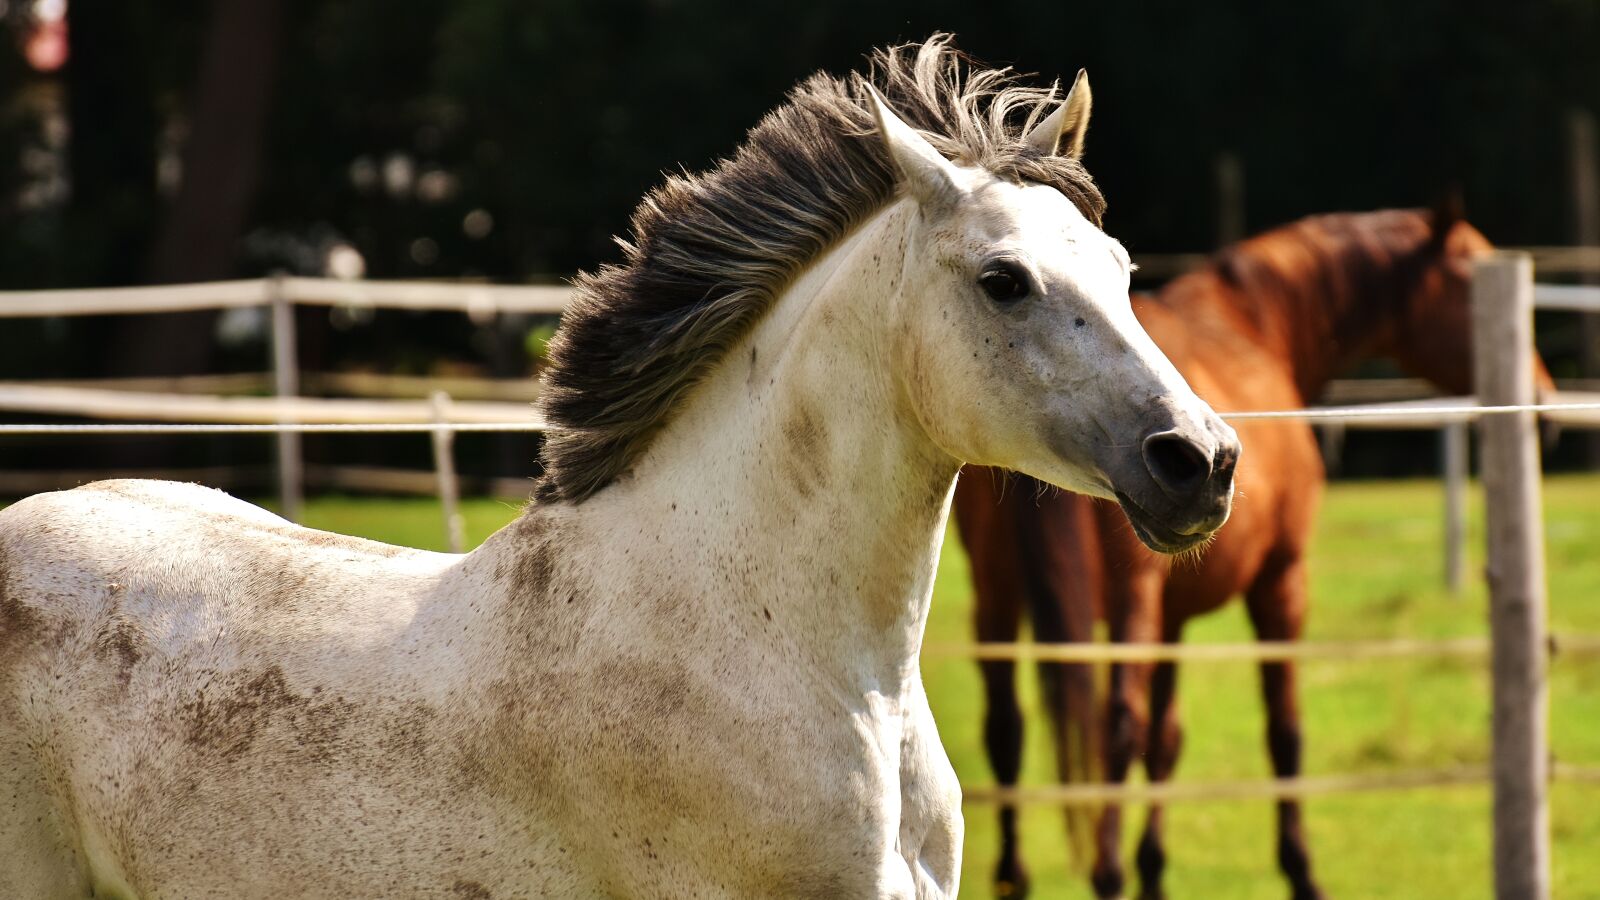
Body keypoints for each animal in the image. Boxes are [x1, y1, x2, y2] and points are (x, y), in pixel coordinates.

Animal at [955, 207, 1555, 900]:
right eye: (1463, 276)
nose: (1543, 399)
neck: (1256, 324)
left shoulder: (1174, 617)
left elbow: (1166, 740)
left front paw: (1154, 871)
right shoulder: (1280, 582)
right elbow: (1282, 729)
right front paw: (1300, 870)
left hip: (997, 594)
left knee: (1007, 726)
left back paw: (1017, 876)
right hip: (1131, 599)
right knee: (1117, 722)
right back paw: (1107, 873)